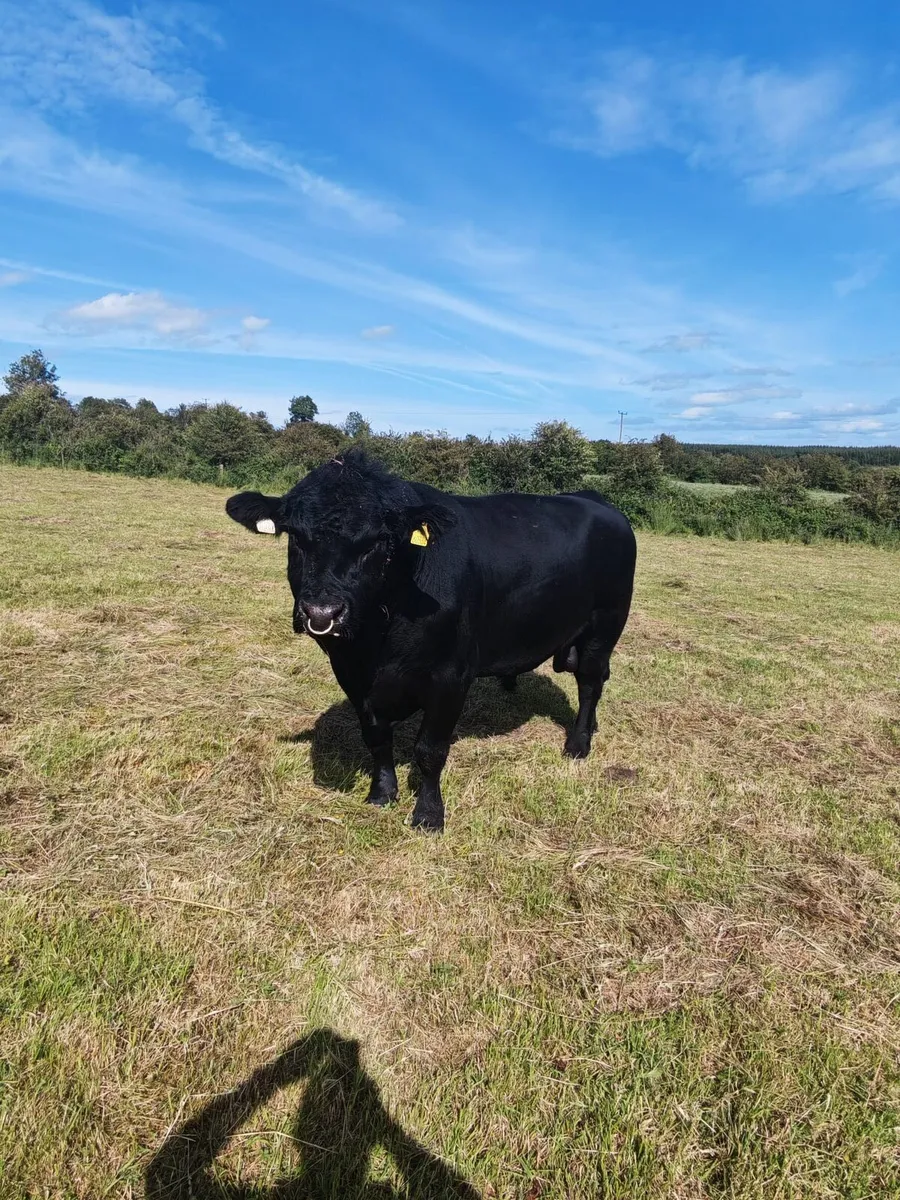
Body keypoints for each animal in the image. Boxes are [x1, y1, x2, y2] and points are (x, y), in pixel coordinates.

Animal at [226, 450, 636, 831]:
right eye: (296, 536)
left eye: (378, 541)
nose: (322, 613)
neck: (377, 644)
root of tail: (597, 501)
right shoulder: (350, 674)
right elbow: (376, 737)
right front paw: (381, 793)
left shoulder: (450, 676)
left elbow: (430, 750)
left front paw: (428, 814)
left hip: (604, 627)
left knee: (590, 682)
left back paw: (579, 743)